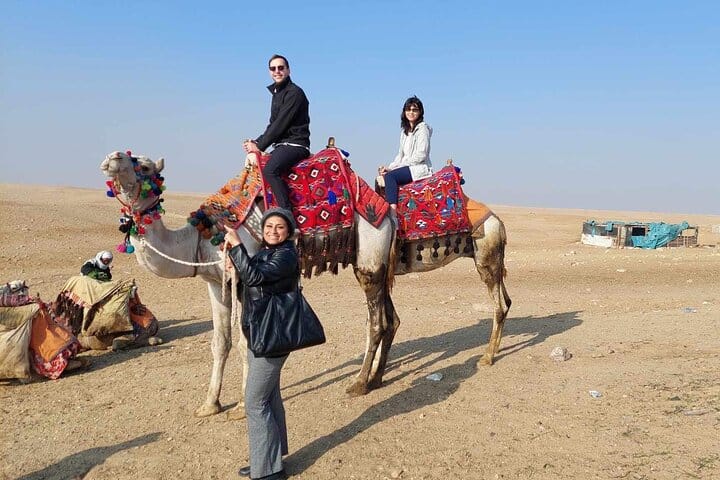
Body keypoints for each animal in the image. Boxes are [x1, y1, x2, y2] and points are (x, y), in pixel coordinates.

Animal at [100, 150, 511, 418]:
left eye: (144, 165)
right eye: (133, 158)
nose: (112, 156)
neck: (204, 236)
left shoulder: (246, 274)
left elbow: (248, 342)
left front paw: (242, 407)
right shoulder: (217, 282)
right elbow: (221, 342)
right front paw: (209, 405)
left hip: (407, 259)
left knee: (382, 321)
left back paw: (365, 382)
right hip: (389, 265)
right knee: (395, 319)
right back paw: (378, 377)